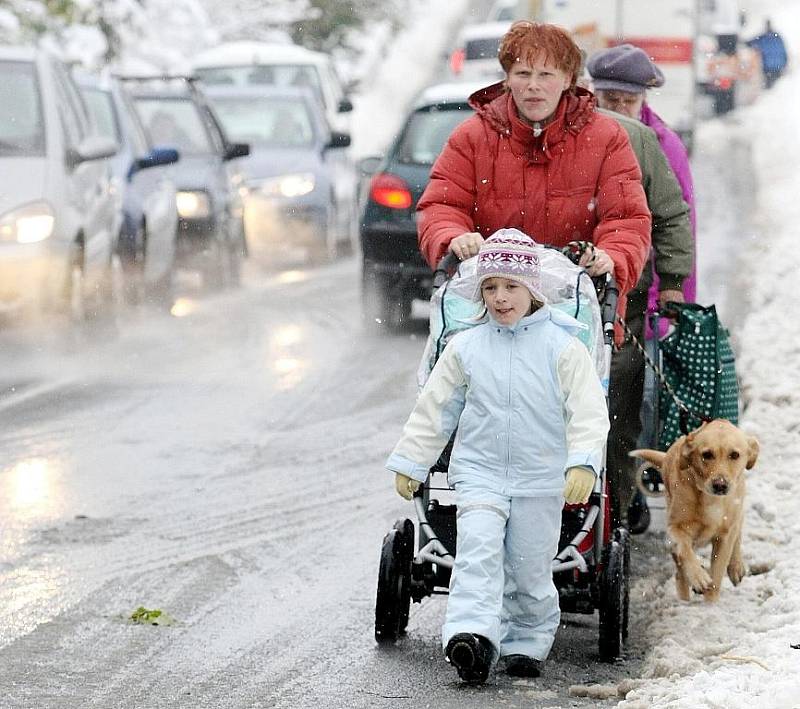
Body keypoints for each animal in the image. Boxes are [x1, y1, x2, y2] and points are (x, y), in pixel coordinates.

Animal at [632, 418, 756, 600]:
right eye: (707, 454)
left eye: (734, 455)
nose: (720, 485)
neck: (710, 499)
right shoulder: (675, 527)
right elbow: (684, 549)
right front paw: (698, 577)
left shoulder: (724, 536)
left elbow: (717, 574)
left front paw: (710, 603)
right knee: (679, 571)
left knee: (738, 528)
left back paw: (735, 566)